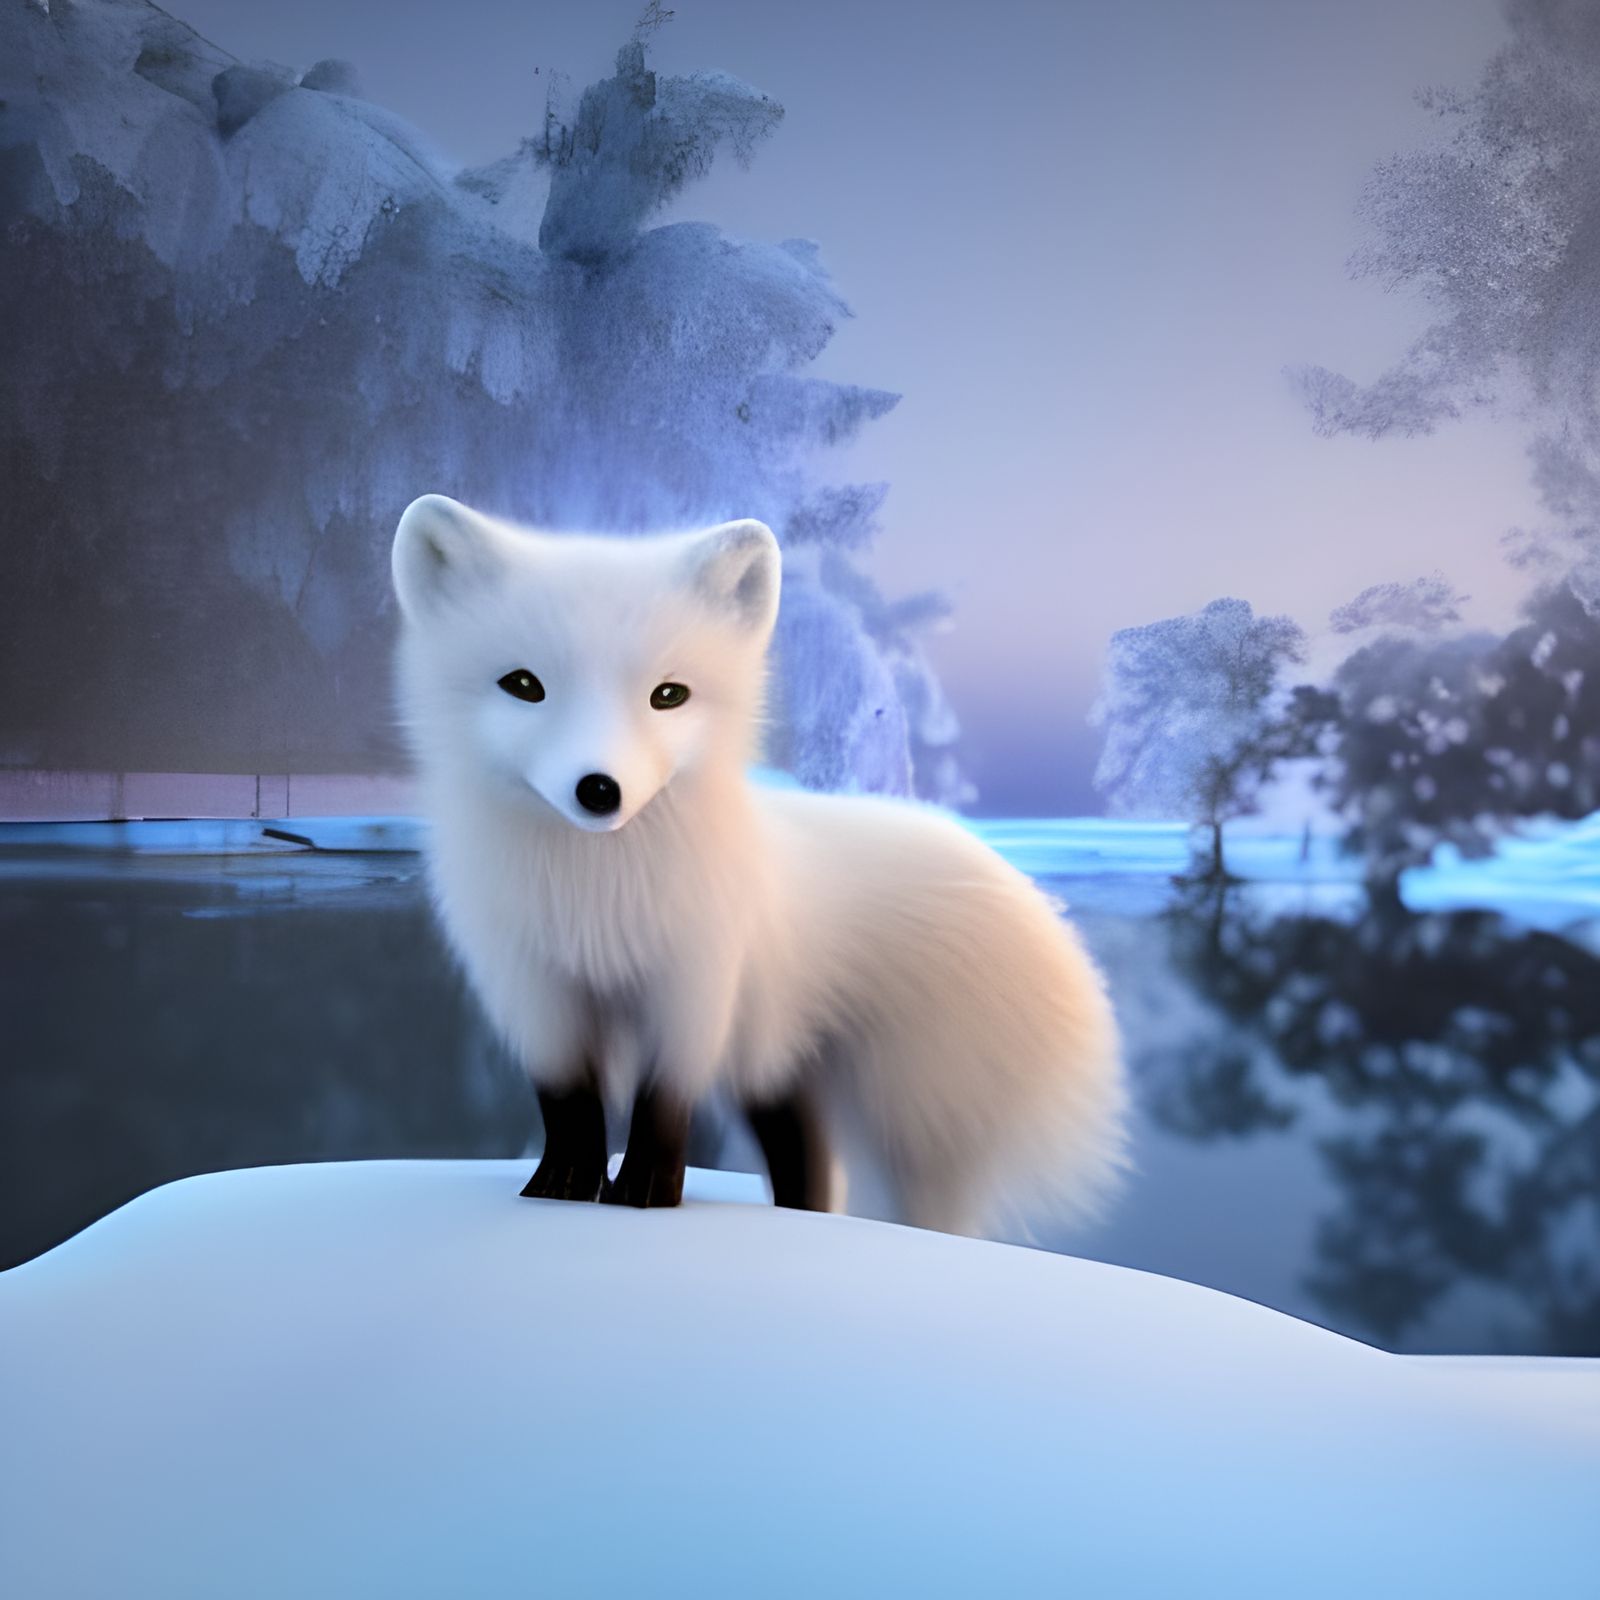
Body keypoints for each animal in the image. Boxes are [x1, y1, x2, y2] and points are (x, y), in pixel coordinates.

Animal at [390, 494, 1126, 1236]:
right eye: (523, 685)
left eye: (669, 695)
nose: (599, 789)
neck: (595, 905)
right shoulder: (536, 994)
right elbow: (570, 1104)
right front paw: (561, 1186)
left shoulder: (695, 986)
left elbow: (662, 1105)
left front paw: (646, 1193)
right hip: (784, 1068)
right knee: (809, 1153)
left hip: (909, 1105)